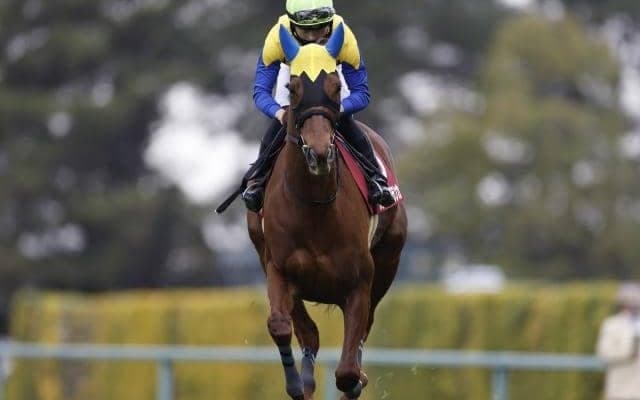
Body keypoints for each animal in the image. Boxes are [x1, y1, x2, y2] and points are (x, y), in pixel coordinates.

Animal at [246, 24, 407, 400]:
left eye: (335, 86)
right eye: (292, 88)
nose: (319, 152)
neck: (314, 207)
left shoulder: (359, 283)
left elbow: (348, 373)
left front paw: (357, 378)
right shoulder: (278, 268)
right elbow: (282, 326)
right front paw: (296, 382)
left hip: (388, 261)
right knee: (309, 334)